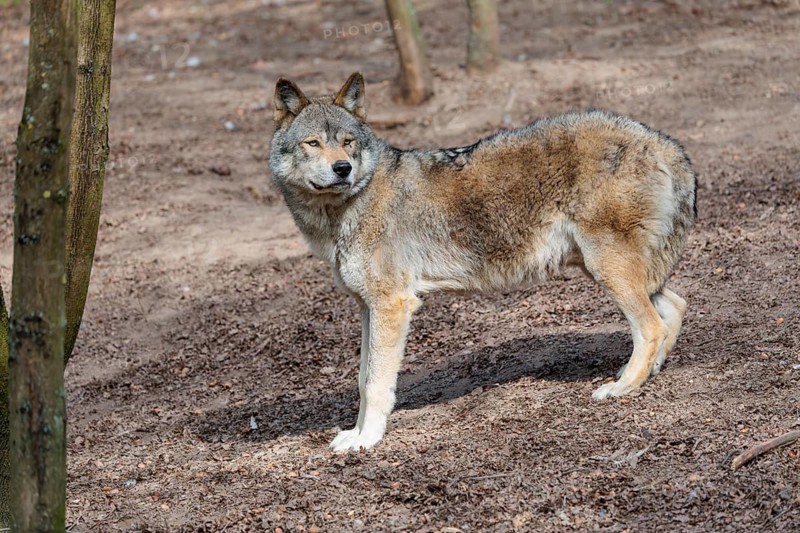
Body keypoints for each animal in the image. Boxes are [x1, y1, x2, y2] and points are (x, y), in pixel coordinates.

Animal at [269, 73, 697, 452]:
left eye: (347, 142)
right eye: (312, 143)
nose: (342, 168)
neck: (349, 206)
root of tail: (663, 141)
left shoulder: (391, 305)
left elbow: (375, 382)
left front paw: (367, 440)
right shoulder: (366, 307)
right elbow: (362, 377)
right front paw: (355, 434)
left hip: (608, 269)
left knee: (651, 326)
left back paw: (623, 387)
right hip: (605, 269)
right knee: (676, 306)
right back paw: (646, 373)